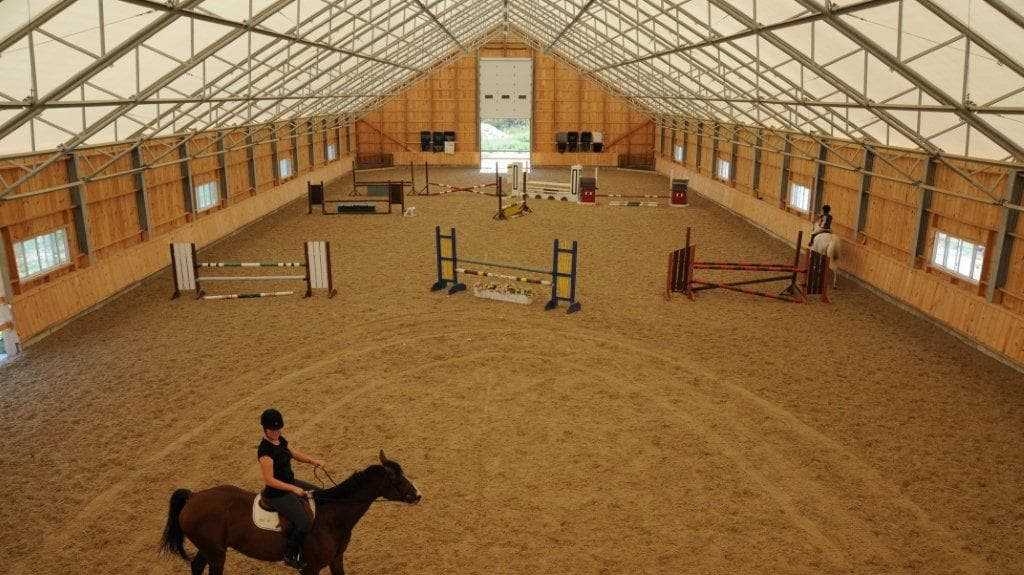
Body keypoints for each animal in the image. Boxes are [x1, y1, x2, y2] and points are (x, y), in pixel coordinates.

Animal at [159, 450, 419, 572]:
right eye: (396, 479)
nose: (417, 495)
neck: (331, 517)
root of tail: (193, 497)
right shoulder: (311, 568)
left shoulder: (336, 559)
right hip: (216, 554)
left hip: (210, 549)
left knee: (196, 566)